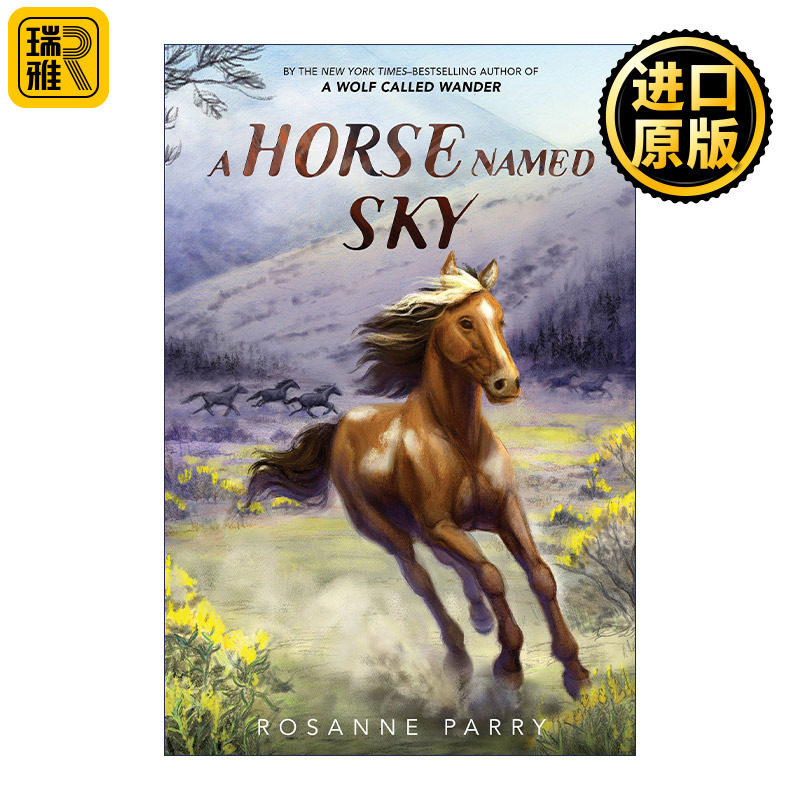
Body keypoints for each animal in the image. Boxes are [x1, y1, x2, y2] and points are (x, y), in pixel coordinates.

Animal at [245, 253, 590, 698]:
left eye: (500, 319)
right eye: (466, 322)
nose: (507, 384)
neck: (460, 441)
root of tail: (341, 426)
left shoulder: (505, 512)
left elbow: (541, 576)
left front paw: (574, 670)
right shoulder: (442, 524)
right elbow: (492, 575)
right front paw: (509, 662)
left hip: (424, 528)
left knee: (452, 566)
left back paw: (480, 618)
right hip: (390, 534)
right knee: (422, 579)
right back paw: (459, 652)